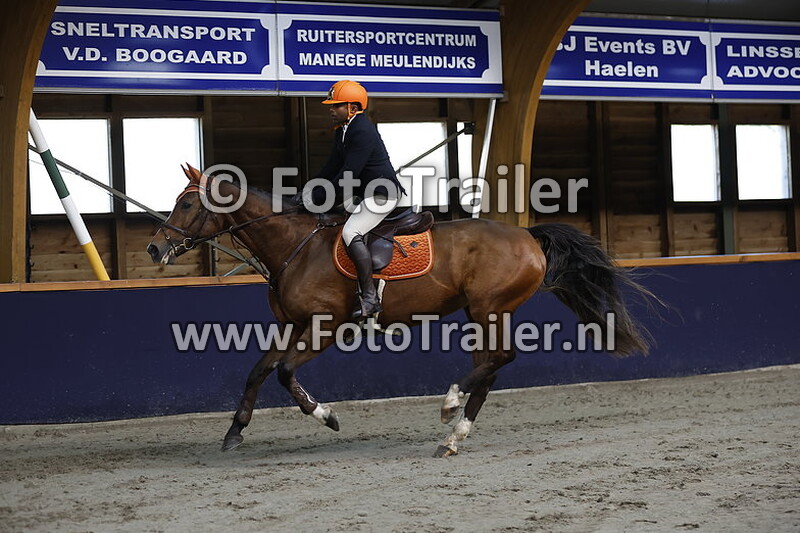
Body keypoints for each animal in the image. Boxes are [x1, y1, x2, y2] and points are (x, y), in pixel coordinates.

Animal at [147, 165, 653, 457]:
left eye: (187, 203)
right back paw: (454, 436)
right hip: (482, 312)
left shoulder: (326, 326)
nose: (154, 248)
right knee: (491, 366)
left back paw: (450, 405)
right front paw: (235, 432)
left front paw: (326, 416)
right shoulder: (291, 325)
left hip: (489, 307)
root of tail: (526, 235)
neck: (295, 246)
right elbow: (257, 371)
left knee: (499, 359)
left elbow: (286, 374)